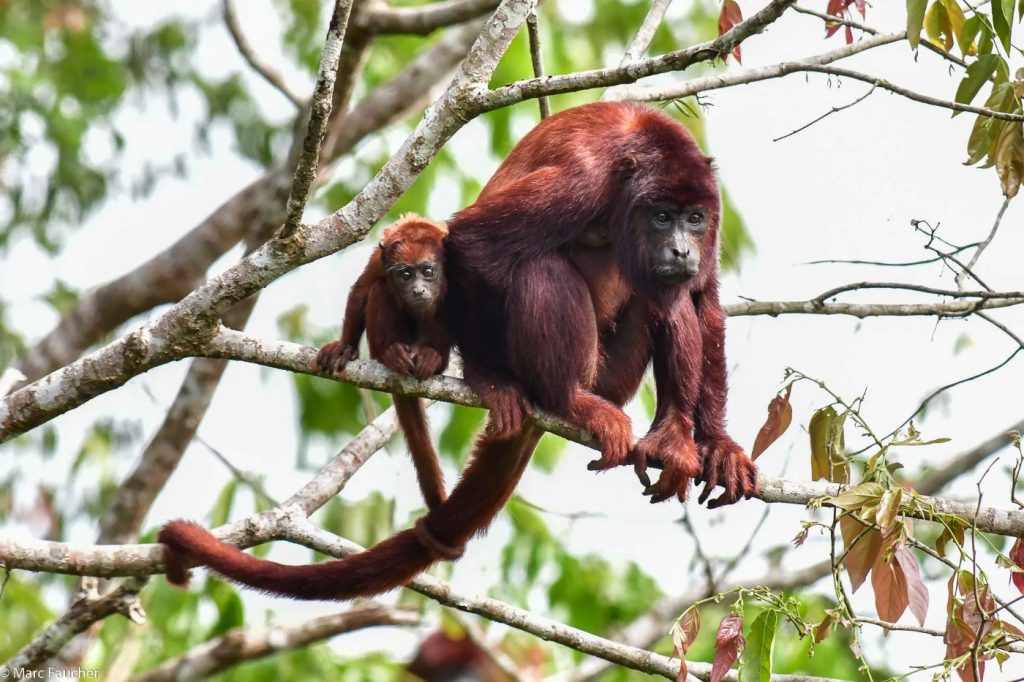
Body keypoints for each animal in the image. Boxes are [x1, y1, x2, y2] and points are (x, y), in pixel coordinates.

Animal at [158, 102, 755, 602]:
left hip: (616, 374)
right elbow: (474, 243)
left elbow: (705, 300)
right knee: (541, 266)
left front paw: (720, 445)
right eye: (661, 216)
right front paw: (491, 381)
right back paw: (565, 400)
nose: (680, 248)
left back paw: (672, 435)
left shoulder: (714, 201)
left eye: (694, 219)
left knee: (671, 298)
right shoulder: (584, 177)